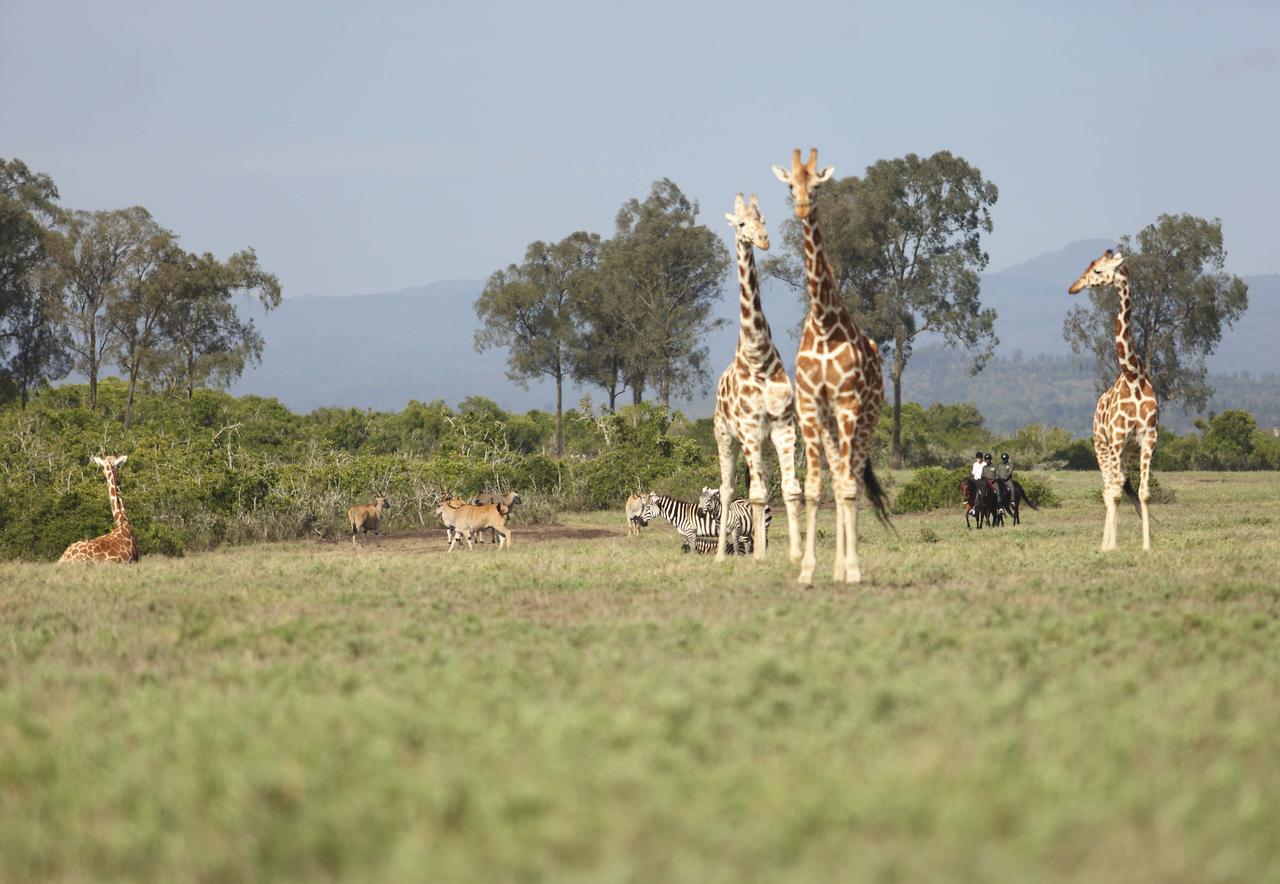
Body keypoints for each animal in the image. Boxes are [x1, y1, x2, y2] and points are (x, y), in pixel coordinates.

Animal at [768, 148, 890, 583]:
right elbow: (813, 489)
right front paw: (807, 572)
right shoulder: (808, 409)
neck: (823, 324)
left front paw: (852, 570)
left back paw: (846, 569)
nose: (803, 206)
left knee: (849, 479)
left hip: (865, 418)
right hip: (831, 424)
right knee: (838, 479)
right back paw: (836, 568)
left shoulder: (848, 406)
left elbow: (849, 487)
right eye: (791, 184)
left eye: (817, 185)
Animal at [1070, 249, 1162, 550]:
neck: (1133, 374)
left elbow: (1143, 493)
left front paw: (1147, 547)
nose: (1074, 287)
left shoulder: (1148, 437)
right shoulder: (1117, 439)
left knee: (1119, 486)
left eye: (1098, 270)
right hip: (1102, 446)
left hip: (1126, 453)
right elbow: (1114, 494)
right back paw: (1105, 545)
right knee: (1108, 489)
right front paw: (1111, 547)